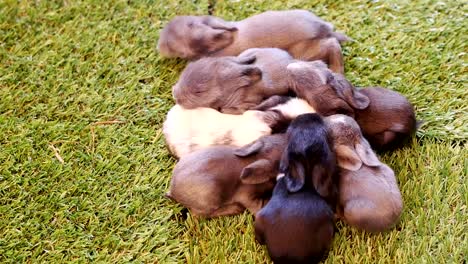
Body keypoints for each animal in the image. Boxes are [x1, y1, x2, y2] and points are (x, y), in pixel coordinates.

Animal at [157, 9, 348, 72]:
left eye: (171, 46)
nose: (159, 46)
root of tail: (322, 26)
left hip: (303, 52)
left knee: (332, 45)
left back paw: (337, 69)